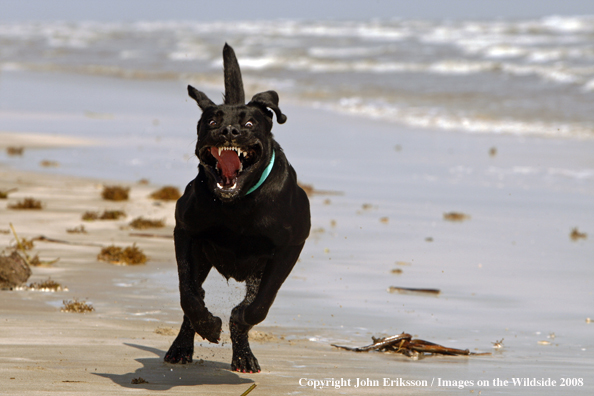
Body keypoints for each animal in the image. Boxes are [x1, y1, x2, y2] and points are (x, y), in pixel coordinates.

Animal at [163, 44, 310, 372]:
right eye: (212, 122)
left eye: (250, 123)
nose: (229, 130)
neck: (238, 205)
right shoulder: (185, 231)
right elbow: (188, 294)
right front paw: (208, 325)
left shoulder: (290, 245)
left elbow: (259, 303)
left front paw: (239, 319)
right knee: (195, 293)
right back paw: (181, 348)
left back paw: (243, 356)